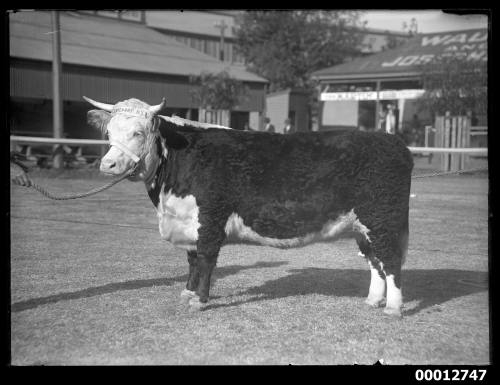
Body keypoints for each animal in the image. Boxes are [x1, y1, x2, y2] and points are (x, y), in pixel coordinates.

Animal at [84, 97, 414, 318]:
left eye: (139, 132)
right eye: (109, 133)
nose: (107, 165)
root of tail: (393, 142)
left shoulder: (211, 218)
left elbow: (205, 260)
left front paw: (199, 300)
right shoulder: (190, 221)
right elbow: (192, 261)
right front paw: (187, 293)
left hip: (383, 221)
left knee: (391, 262)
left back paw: (393, 308)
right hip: (363, 227)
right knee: (375, 261)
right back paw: (373, 300)